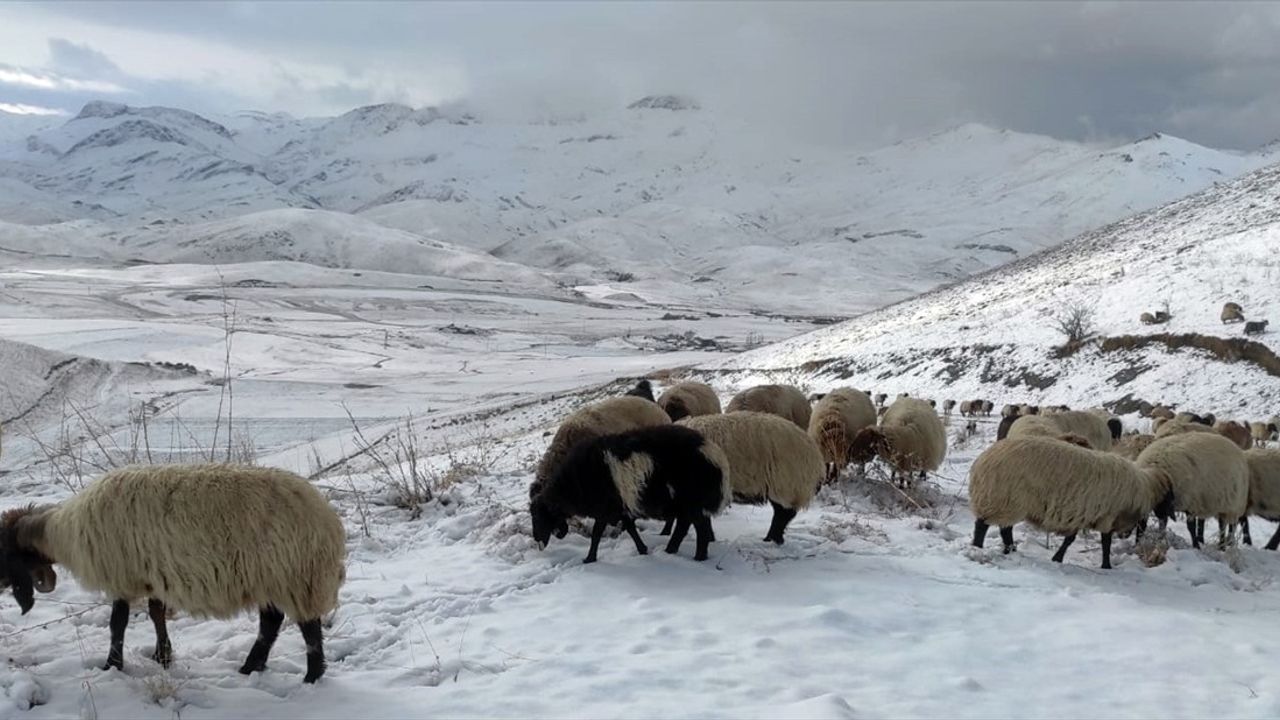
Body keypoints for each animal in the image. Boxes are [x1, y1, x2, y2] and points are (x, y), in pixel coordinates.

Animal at [0, 461, 345, 681]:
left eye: (4, 550)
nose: (2, 583)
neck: (62, 532)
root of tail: (327, 520)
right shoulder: (152, 574)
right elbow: (156, 614)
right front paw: (162, 657)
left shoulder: (122, 575)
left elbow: (117, 624)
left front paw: (113, 665)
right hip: (272, 577)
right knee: (272, 623)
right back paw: (252, 668)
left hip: (293, 574)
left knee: (307, 628)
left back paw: (311, 677)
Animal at [529, 422, 732, 563]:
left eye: (536, 516)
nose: (537, 540)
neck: (573, 483)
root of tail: (715, 454)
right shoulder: (620, 508)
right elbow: (630, 528)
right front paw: (643, 550)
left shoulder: (605, 509)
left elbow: (597, 534)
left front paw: (589, 559)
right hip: (690, 504)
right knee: (688, 527)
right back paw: (673, 550)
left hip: (692, 502)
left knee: (699, 530)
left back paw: (696, 558)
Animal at [967, 430, 1172, 566]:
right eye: (1167, 499)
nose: (1126, 535)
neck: (1140, 491)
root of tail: (983, 460)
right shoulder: (1106, 515)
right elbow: (1105, 542)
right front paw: (1106, 565)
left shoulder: (1080, 513)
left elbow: (1070, 539)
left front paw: (1057, 558)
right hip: (1002, 498)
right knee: (983, 525)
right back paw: (978, 547)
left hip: (1007, 501)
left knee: (1004, 528)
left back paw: (1009, 550)